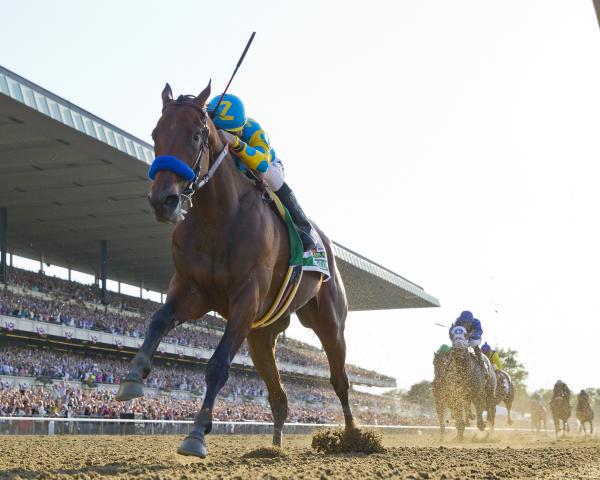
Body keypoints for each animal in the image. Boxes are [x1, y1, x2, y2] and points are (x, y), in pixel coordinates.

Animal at [115, 82, 354, 458]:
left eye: (196, 135)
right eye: (155, 133)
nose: (163, 200)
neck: (218, 219)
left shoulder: (246, 298)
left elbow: (217, 365)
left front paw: (196, 434)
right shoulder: (191, 289)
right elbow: (157, 320)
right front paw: (132, 377)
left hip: (328, 320)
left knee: (340, 381)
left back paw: (354, 438)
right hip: (261, 336)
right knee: (279, 397)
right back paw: (273, 449)